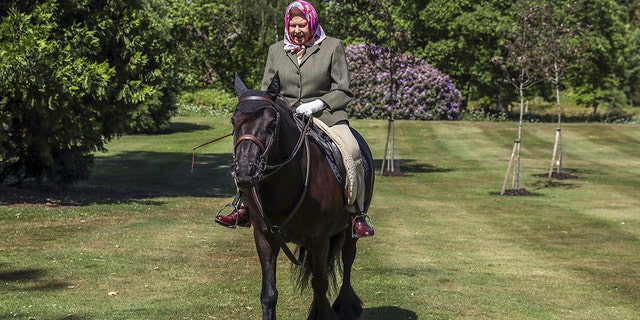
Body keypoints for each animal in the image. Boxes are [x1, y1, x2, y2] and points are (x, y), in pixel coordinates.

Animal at [230, 74, 372, 318]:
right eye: (233, 121)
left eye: (272, 124)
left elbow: (320, 285)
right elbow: (269, 293)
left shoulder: (319, 240)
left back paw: (345, 305)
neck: (282, 185)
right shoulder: (265, 237)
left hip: (348, 230)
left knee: (347, 258)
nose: (245, 171)